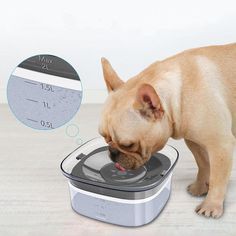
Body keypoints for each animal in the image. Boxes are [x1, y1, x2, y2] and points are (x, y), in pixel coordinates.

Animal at [98, 43, 236, 218]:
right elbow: (203, 164)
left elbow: (218, 178)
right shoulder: (194, 142)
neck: (177, 96)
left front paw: (211, 205)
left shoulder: (220, 145)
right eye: (104, 137)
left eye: (128, 145)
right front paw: (200, 187)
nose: (112, 152)